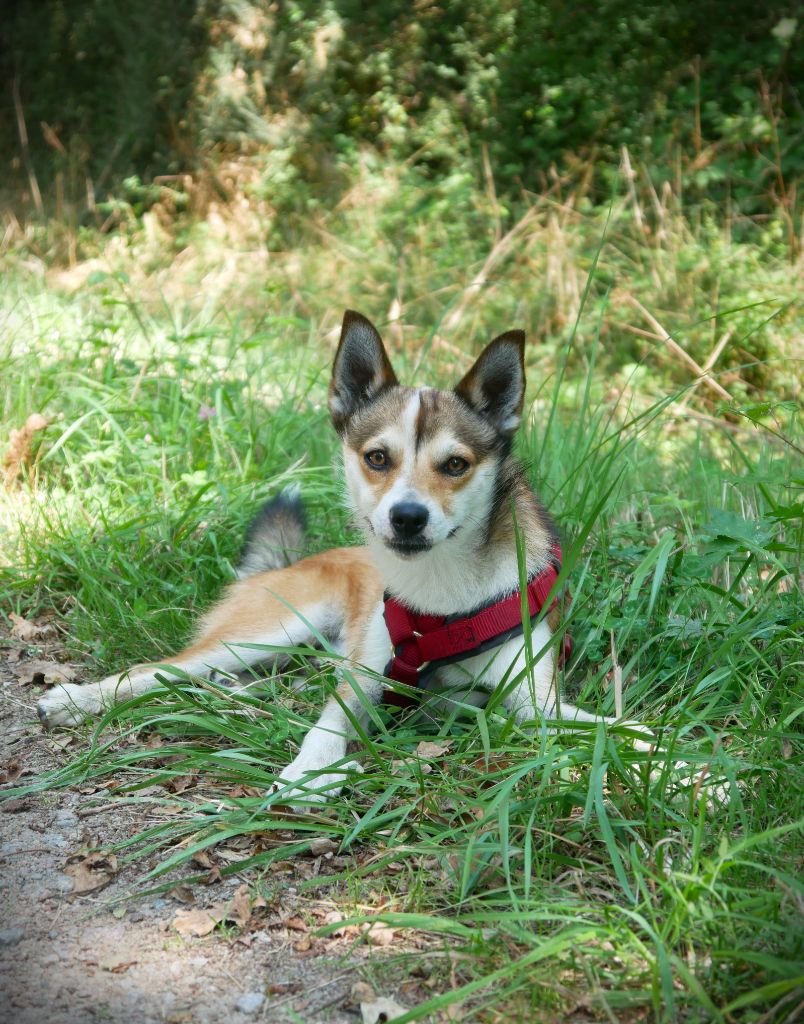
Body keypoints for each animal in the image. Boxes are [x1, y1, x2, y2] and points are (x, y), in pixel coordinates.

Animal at [37, 307, 643, 802]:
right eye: (377, 457)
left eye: (455, 464)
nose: (407, 516)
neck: (440, 594)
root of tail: (290, 564)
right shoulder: (362, 680)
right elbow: (325, 729)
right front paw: (309, 774)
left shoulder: (535, 704)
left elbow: (607, 728)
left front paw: (662, 760)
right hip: (266, 630)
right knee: (157, 669)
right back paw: (77, 700)